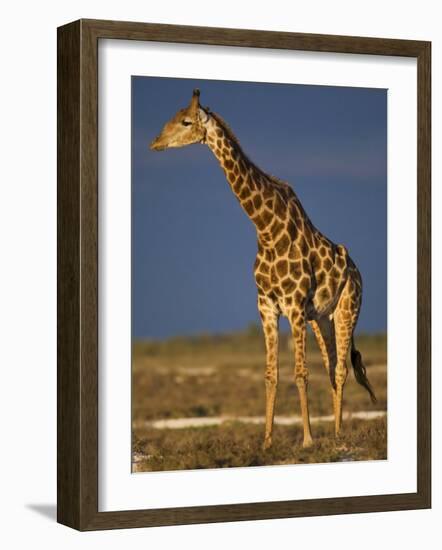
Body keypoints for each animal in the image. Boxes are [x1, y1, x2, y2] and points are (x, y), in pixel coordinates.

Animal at [149, 90, 376, 450]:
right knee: (331, 366)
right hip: (321, 318)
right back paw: (336, 431)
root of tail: (356, 271)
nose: (155, 143)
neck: (266, 228)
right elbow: (272, 374)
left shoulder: (294, 306)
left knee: (340, 368)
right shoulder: (266, 305)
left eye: (185, 121)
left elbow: (300, 373)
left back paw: (338, 435)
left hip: (347, 309)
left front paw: (307, 439)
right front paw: (267, 441)